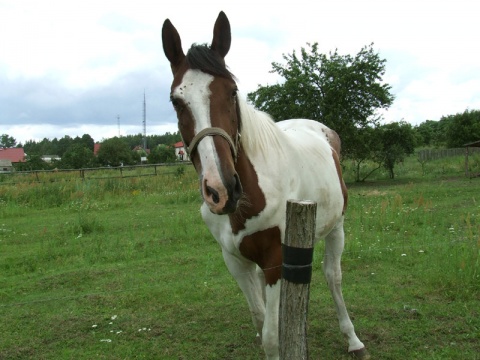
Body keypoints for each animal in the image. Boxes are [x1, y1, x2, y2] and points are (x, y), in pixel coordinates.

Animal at [161, 11, 368, 360]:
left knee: (333, 277)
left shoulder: (275, 260)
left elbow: (270, 335)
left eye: (232, 91)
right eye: (176, 100)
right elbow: (260, 320)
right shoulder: (235, 261)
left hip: (336, 226)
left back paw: (353, 339)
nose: (221, 190)